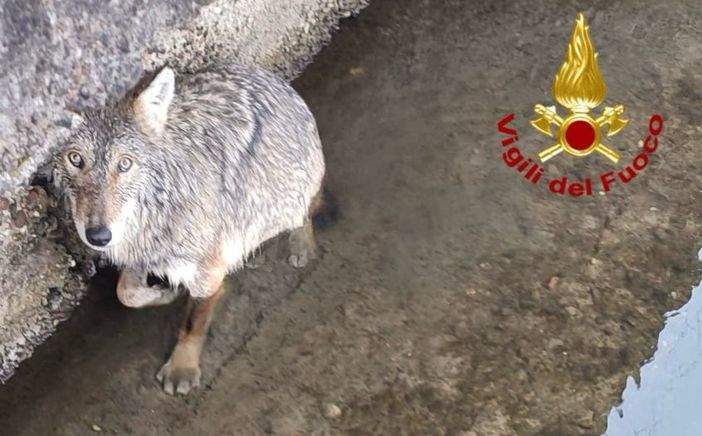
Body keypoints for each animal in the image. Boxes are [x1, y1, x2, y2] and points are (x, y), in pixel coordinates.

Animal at [55, 64, 326, 395]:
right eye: (75, 159)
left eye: (125, 164)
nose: (98, 236)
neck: (154, 216)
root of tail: (274, 79)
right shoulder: (140, 255)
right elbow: (125, 293)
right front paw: (162, 294)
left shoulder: (207, 270)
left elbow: (192, 323)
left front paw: (182, 367)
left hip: (285, 196)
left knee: (304, 214)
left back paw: (300, 246)